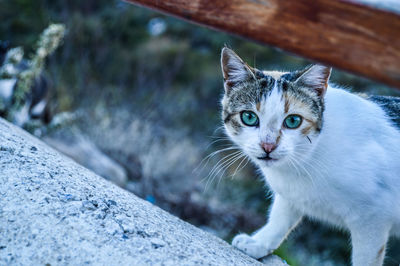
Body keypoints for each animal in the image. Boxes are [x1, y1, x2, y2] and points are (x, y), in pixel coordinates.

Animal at [220, 46, 400, 264]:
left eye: (293, 121)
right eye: (248, 117)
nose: (268, 146)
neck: (306, 160)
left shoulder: (373, 217)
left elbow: (365, 259)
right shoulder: (292, 193)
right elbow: (282, 216)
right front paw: (260, 243)